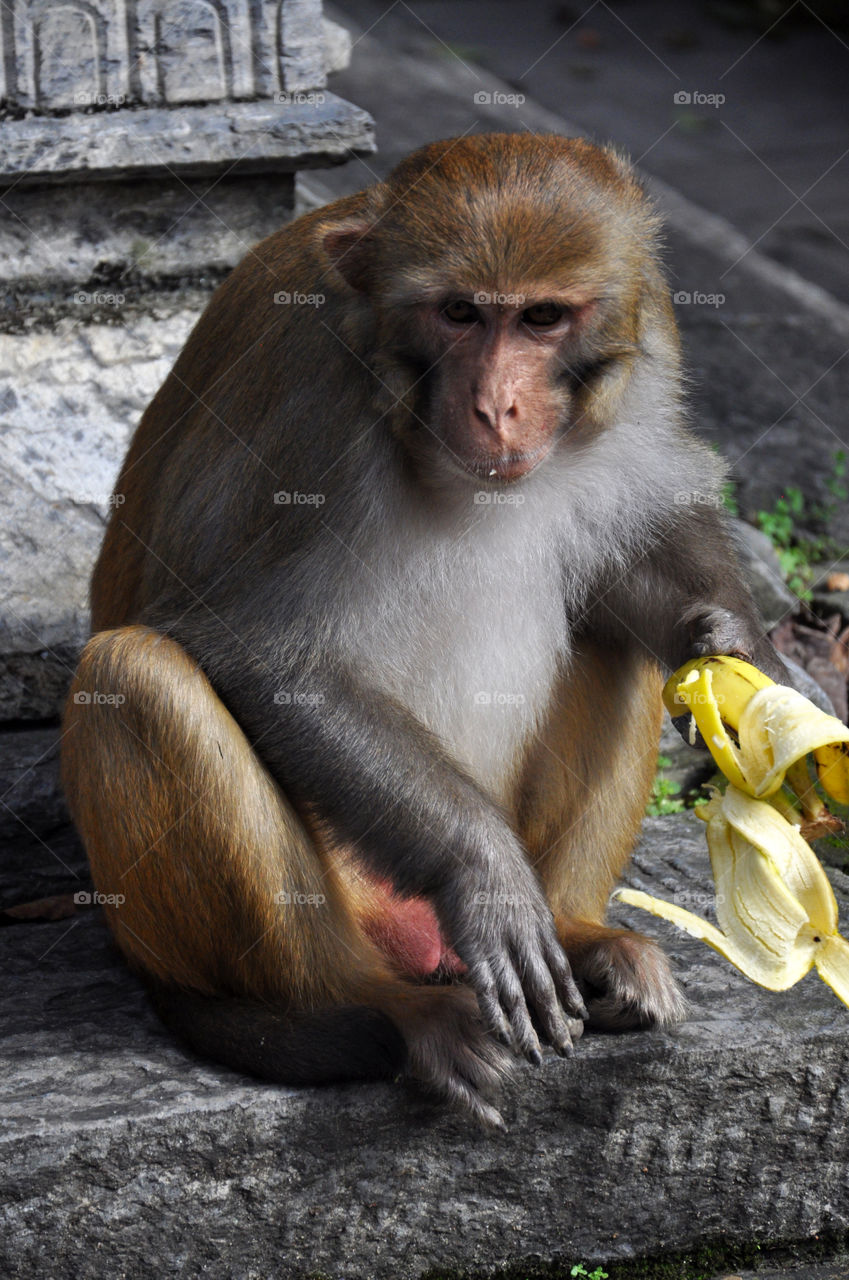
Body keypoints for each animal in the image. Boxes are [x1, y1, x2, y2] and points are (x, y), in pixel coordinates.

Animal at [61, 133, 790, 1126]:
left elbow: (636, 549)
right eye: (457, 313)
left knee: (617, 634)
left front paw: (729, 638)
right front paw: (480, 873)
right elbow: (257, 647)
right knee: (136, 673)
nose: (495, 406)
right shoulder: (312, 398)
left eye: (542, 318)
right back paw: (387, 1010)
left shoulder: (652, 331)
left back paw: (580, 935)